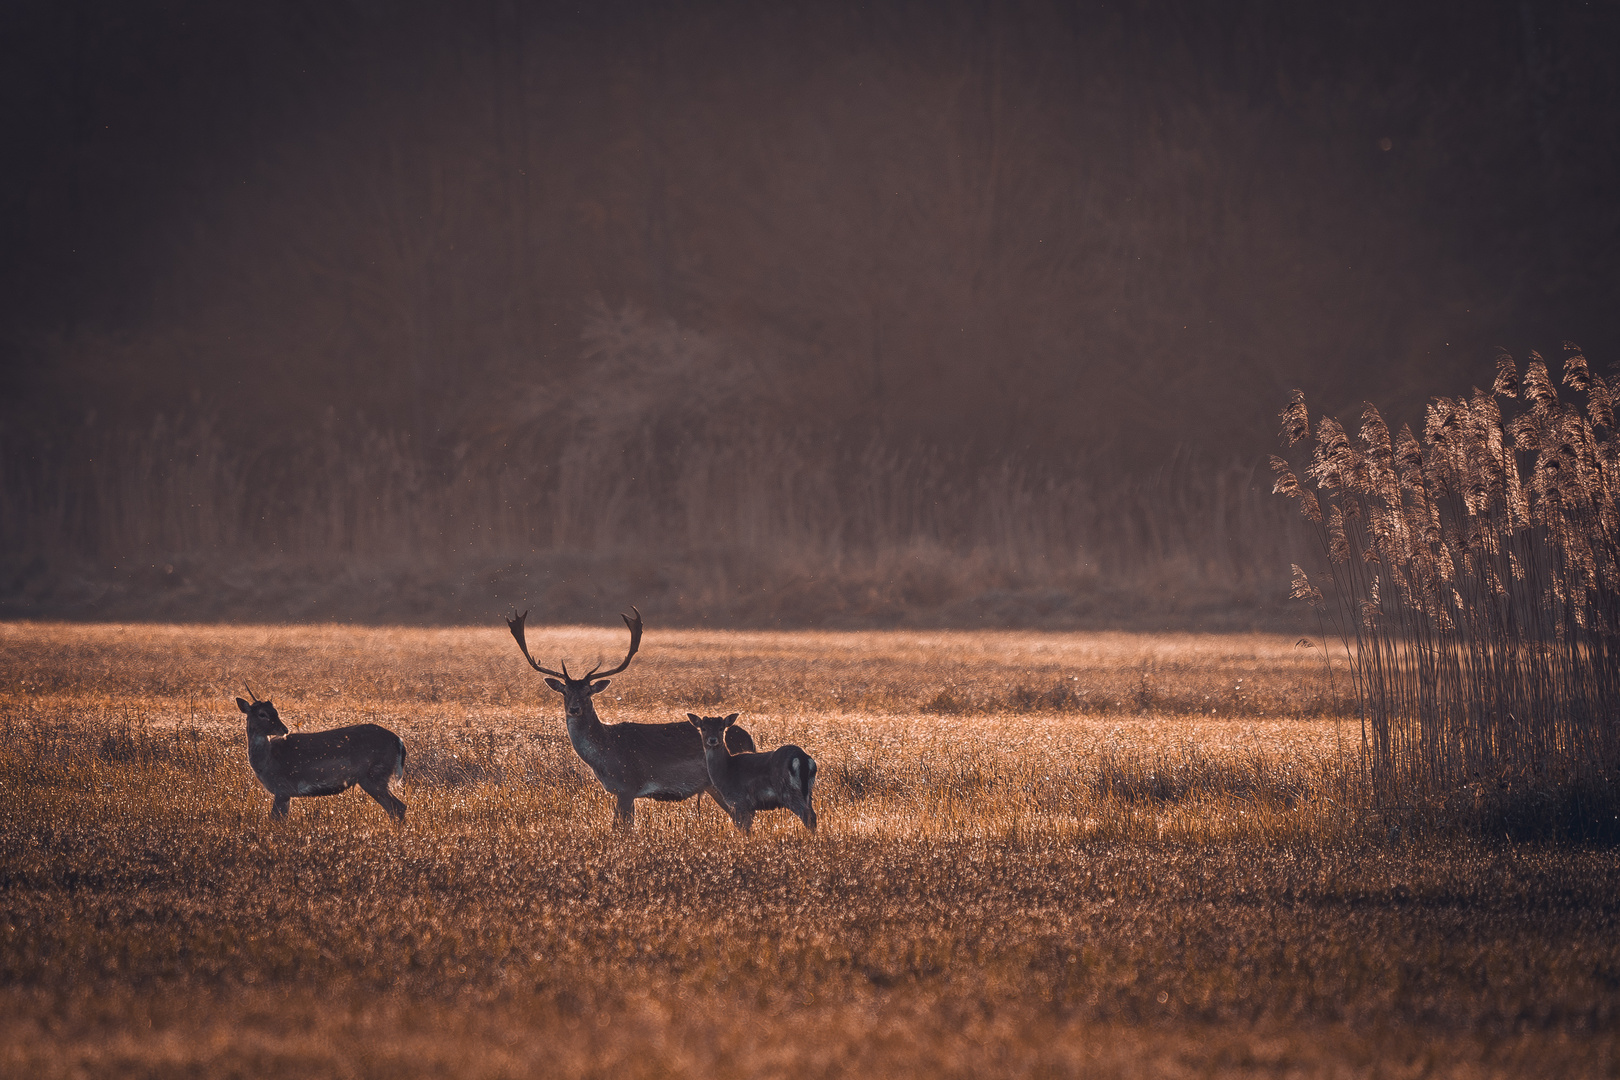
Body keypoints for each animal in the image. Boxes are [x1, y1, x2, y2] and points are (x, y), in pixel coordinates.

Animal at [236, 689, 408, 822]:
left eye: (275, 712)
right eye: (262, 714)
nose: (284, 729)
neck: (267, 762)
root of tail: (399, 741)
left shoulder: (282, 788)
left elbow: (276, 820)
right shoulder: (286, 793)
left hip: (374, 775)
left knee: (398, 807)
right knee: (396, 808)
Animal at [502, 608, 754, 829]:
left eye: (588, 692)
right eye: (565, 692)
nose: (574, 709)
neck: (605, 753)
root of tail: (750, 740)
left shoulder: (627, 786)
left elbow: (621, 827)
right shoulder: (623, 791)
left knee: (743, 818)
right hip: (713, 787)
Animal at [683, 712, 816, 841]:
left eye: (721, 728)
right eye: (703, 728)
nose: (712, 740)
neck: (725, 772)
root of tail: (802, 758)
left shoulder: (739, 801)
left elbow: (744, 829)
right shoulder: (749, 807)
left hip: (789, 792)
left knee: (807, 816)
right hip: (808, 792)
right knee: (812, 815)